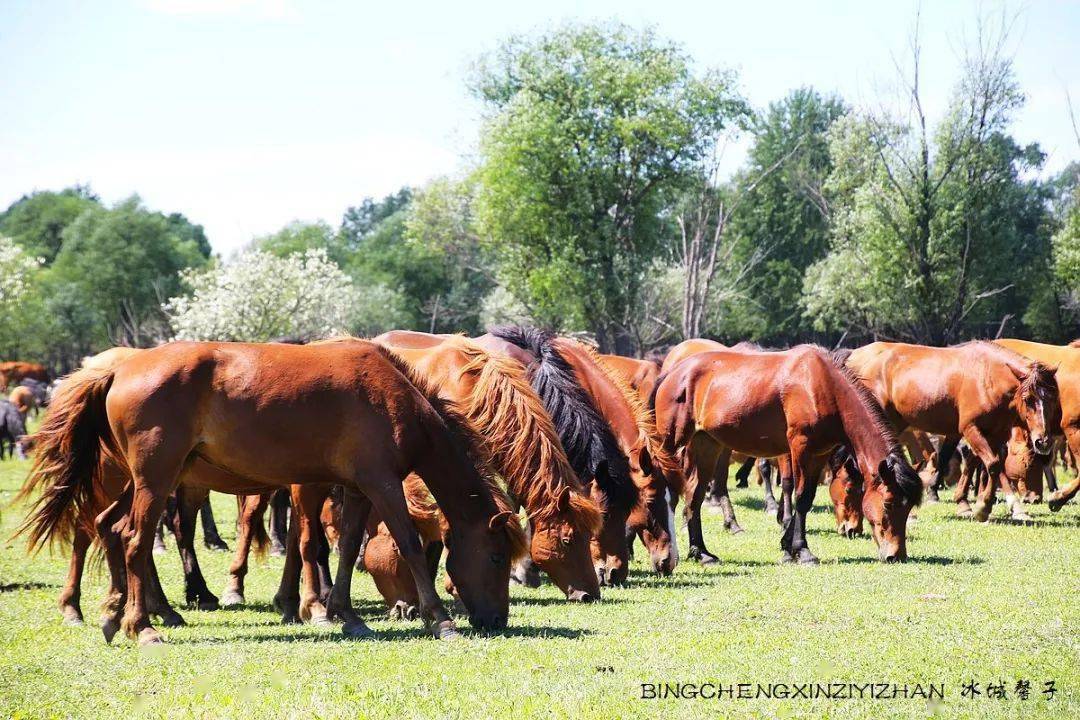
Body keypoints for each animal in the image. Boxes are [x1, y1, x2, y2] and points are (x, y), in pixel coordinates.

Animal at [15, 341, 522, 643]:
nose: (497, 620)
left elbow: (346, 549)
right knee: (135, 540)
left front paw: (346, 614)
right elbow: (410, 547)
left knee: (110, 528)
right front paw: (441, 619)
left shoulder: (358, 490)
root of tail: (119, 369)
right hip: (155, 482)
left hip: (146, 483)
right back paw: (142, 626)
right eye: (498, 558)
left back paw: (116, 612)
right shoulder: (382, 485)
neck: (393, 397)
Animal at [648, 345, 920, 565]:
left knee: (694, 495)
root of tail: (672, 374)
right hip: (671, 445)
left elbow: (807, 497)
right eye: (888, 503)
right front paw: (803, 551)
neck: (822, 386)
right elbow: (800, 496)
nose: (896, 555)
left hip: (706, 445)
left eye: (908, 507)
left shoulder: (818, 453)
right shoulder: (800, 447)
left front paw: (788, 548)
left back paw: (701, 552)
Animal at [846, 341, 1058, 520]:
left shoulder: (996, 434)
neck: (987, 377)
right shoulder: (970, 429)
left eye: (1052, 399)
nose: (1043, 441)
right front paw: (983, 507)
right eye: (1028, 399)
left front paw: (1005, 506)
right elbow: (993, 464)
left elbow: (993, 464)